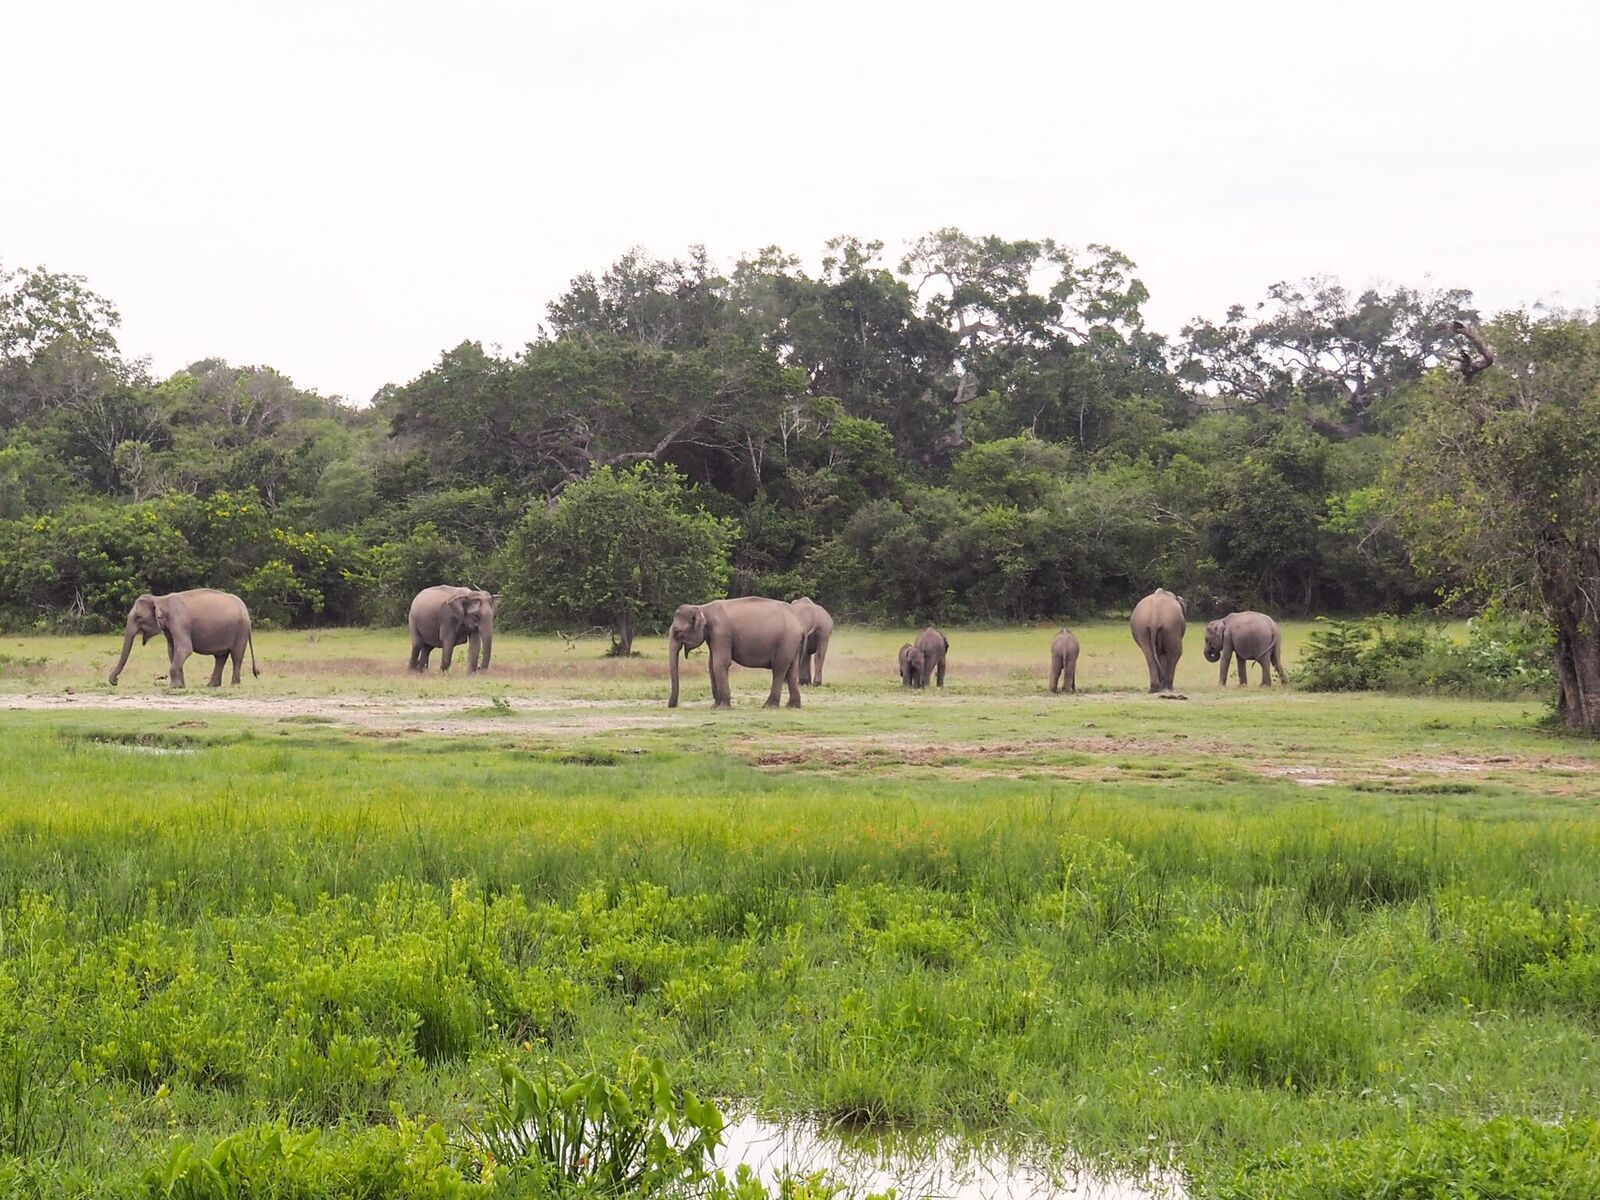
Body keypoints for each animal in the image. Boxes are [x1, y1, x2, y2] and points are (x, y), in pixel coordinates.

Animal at [108, 588, 257, 691]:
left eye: (138, 617)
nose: (115, 681)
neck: (161, 599)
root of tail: (244, 607)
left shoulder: (179, 621)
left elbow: (185, 649)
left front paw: (173, 687)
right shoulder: (169, 628)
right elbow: (172, 650)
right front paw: (180, 687)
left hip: (241, 631)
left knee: (236, 655)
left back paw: (234, 685)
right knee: (220, 657)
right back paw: (211, 685)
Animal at [668, 598, 806, 710]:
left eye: (677, 632)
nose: (672, 706)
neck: (703, 608)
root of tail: (799, 624)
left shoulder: (721, 633)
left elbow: (720, 663)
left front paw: (722, 708)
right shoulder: (712, 637)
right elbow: (712, 665)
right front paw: (714, 707)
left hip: (787, 640)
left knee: (779, 668)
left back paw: (769, 706)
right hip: (793, 644)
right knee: (791, 670)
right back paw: (792, 706)